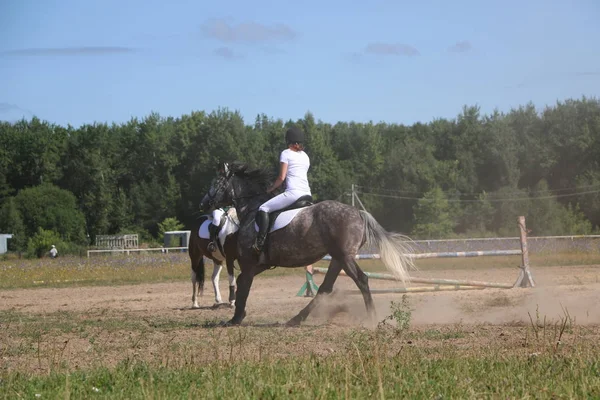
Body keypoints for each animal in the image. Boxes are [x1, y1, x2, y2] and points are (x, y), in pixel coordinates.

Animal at [202, 161, 418, 326]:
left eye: (216, 183)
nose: (202, 204)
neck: (252, 208)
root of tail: (358, 212)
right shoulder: (259, 264)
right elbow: (242, 283)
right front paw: (237, 316)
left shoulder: (248, 263)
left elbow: (243, 284)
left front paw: (236, 318)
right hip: (338, 258)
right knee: (325, 288)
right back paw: (296, 319)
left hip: (344, 257)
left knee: (361, 280)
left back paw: (371, 317)